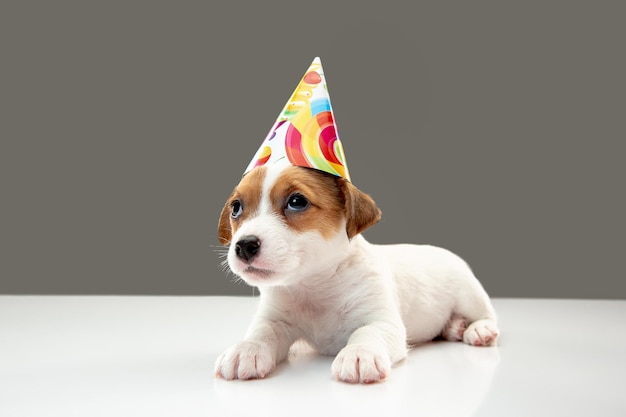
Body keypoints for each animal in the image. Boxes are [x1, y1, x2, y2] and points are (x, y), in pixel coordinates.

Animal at [214, 160, 498, 384]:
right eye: (236, 208)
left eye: (297, 202)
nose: (244, 246)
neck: (314, 286)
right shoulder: (275, 320)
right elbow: (262, 333)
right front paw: (245, 349)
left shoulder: (383, 322)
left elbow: (366, 332)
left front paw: (360, 353)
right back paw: (454, 327)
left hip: (470, 294)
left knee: (487, 315)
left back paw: (477, 329)